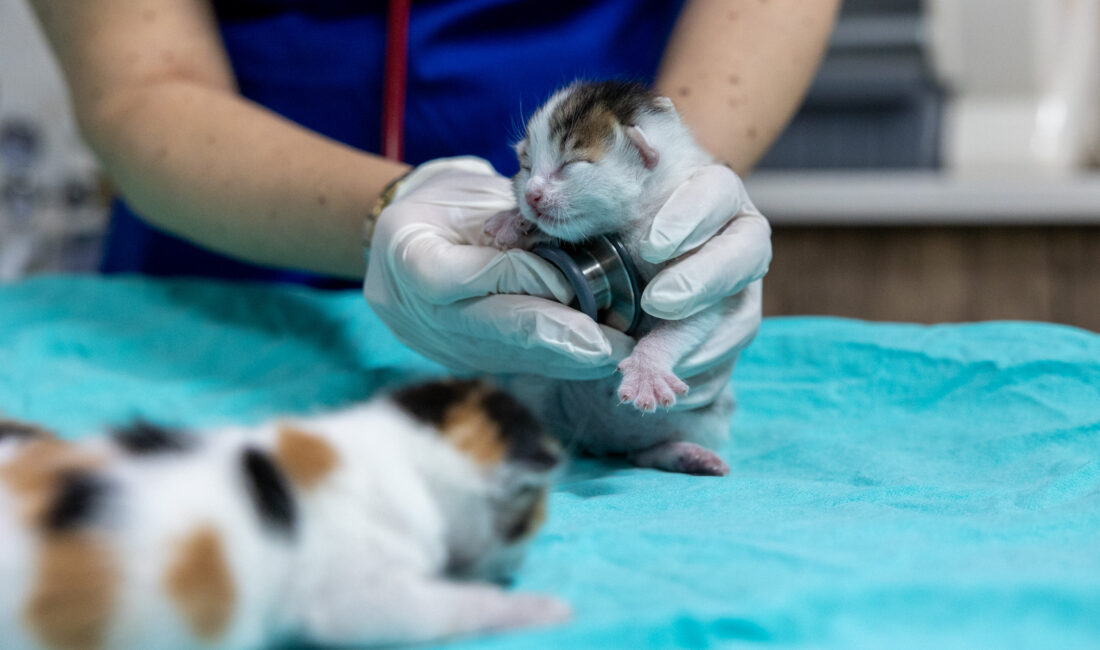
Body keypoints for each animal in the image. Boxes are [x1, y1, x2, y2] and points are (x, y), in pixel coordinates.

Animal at [0, 380, 567, 650]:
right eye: (530, 521)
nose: (517, 569)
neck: (401, 455)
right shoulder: (360, 594)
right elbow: (448, 605)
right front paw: (540, 609)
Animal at [486, 81, 734, 477]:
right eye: (526, 166)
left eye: (570, 164)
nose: (530, 195)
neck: (629, 224)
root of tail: (603, 443)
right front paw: (512, 219)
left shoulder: (694, 271)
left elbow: (689, 319)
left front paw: (647, 368)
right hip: (535, 386)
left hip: (707, 417)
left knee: (643, 455)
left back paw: (686, 455)